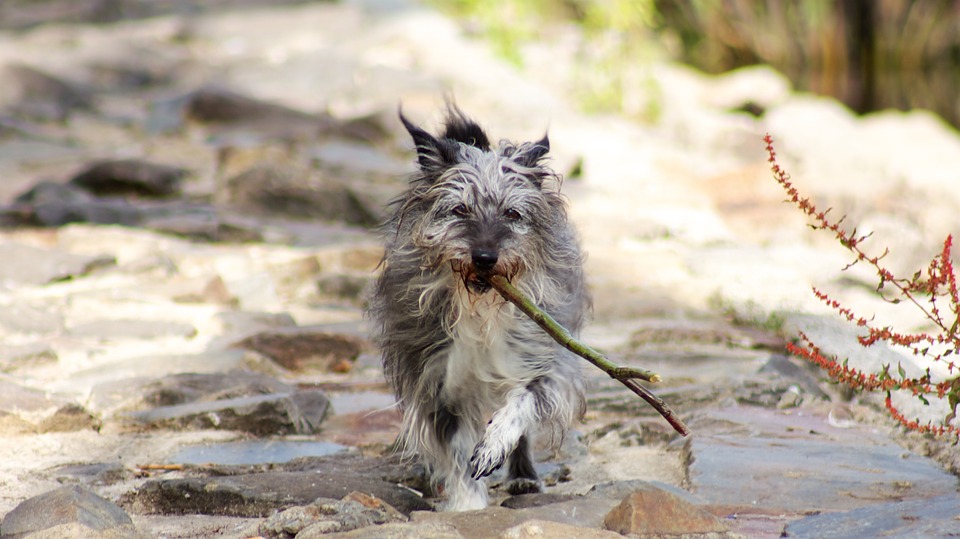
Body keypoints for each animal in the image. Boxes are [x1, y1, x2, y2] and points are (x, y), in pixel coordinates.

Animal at [370, 106, 588, 516]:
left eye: (512, 213)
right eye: (459, 209)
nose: (485, 257)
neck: (481, 309)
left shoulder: (547, 361)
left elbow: (522, 403)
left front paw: (495, 444)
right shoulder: (435, 380)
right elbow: (456, 451)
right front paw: (469, 506)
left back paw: (522, 475)